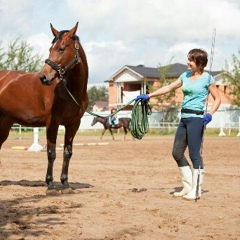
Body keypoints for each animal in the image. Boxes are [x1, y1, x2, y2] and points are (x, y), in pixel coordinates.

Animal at [0, 22, 88, 191]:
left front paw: (65, 183)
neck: (69, 90)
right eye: (50, 49)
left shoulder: (73, 124)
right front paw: (50, 184)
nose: (44, 77)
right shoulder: (52, 122)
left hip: (5, 124)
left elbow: (67, 153)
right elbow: (51, 152)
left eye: (61, 48)